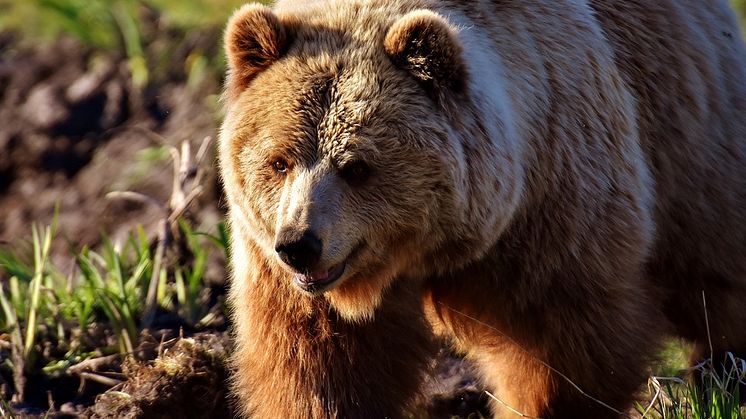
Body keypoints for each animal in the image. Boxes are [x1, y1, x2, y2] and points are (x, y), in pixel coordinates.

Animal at [218, 0, 744, 416]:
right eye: (279, 160)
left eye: (357, 166)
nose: (299, 245)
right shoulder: (282, 272)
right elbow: (320, 367)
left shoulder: (553, 202)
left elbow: (562, 349)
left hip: (687, 137)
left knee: (711, 269)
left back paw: (723, 370)